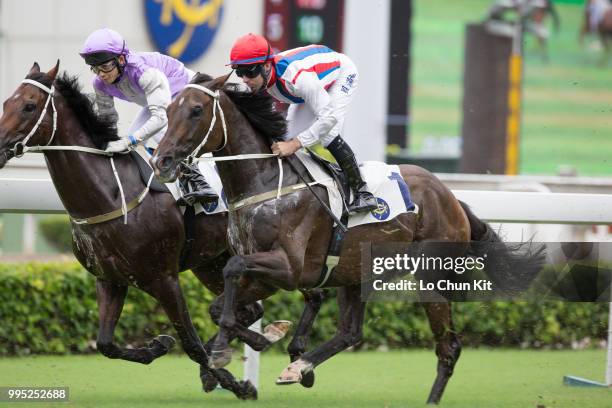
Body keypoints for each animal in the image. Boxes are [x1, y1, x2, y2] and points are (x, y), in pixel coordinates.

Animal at [0, 63, 322, 398]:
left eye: (28, 106)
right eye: (6, 103)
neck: (110, 195)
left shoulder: (163, 278)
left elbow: (191, 344)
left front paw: (238, 383)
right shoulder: (110, 279)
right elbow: (105, 344)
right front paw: (160, 345)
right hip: (212, 262)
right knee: (252, 309)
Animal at [151, 74, 544, 404]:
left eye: (196, 110)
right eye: (167, 110)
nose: (162, 160)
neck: (263, 183)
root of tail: (451, 198)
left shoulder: (288, 268)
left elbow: (233, 272)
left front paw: (226, 351)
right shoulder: (268, 274)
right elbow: (222, 308)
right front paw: (262, 340)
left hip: (430, 277)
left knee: (449, 347)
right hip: (355, 272)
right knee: (351, 333)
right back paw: (299, 367)